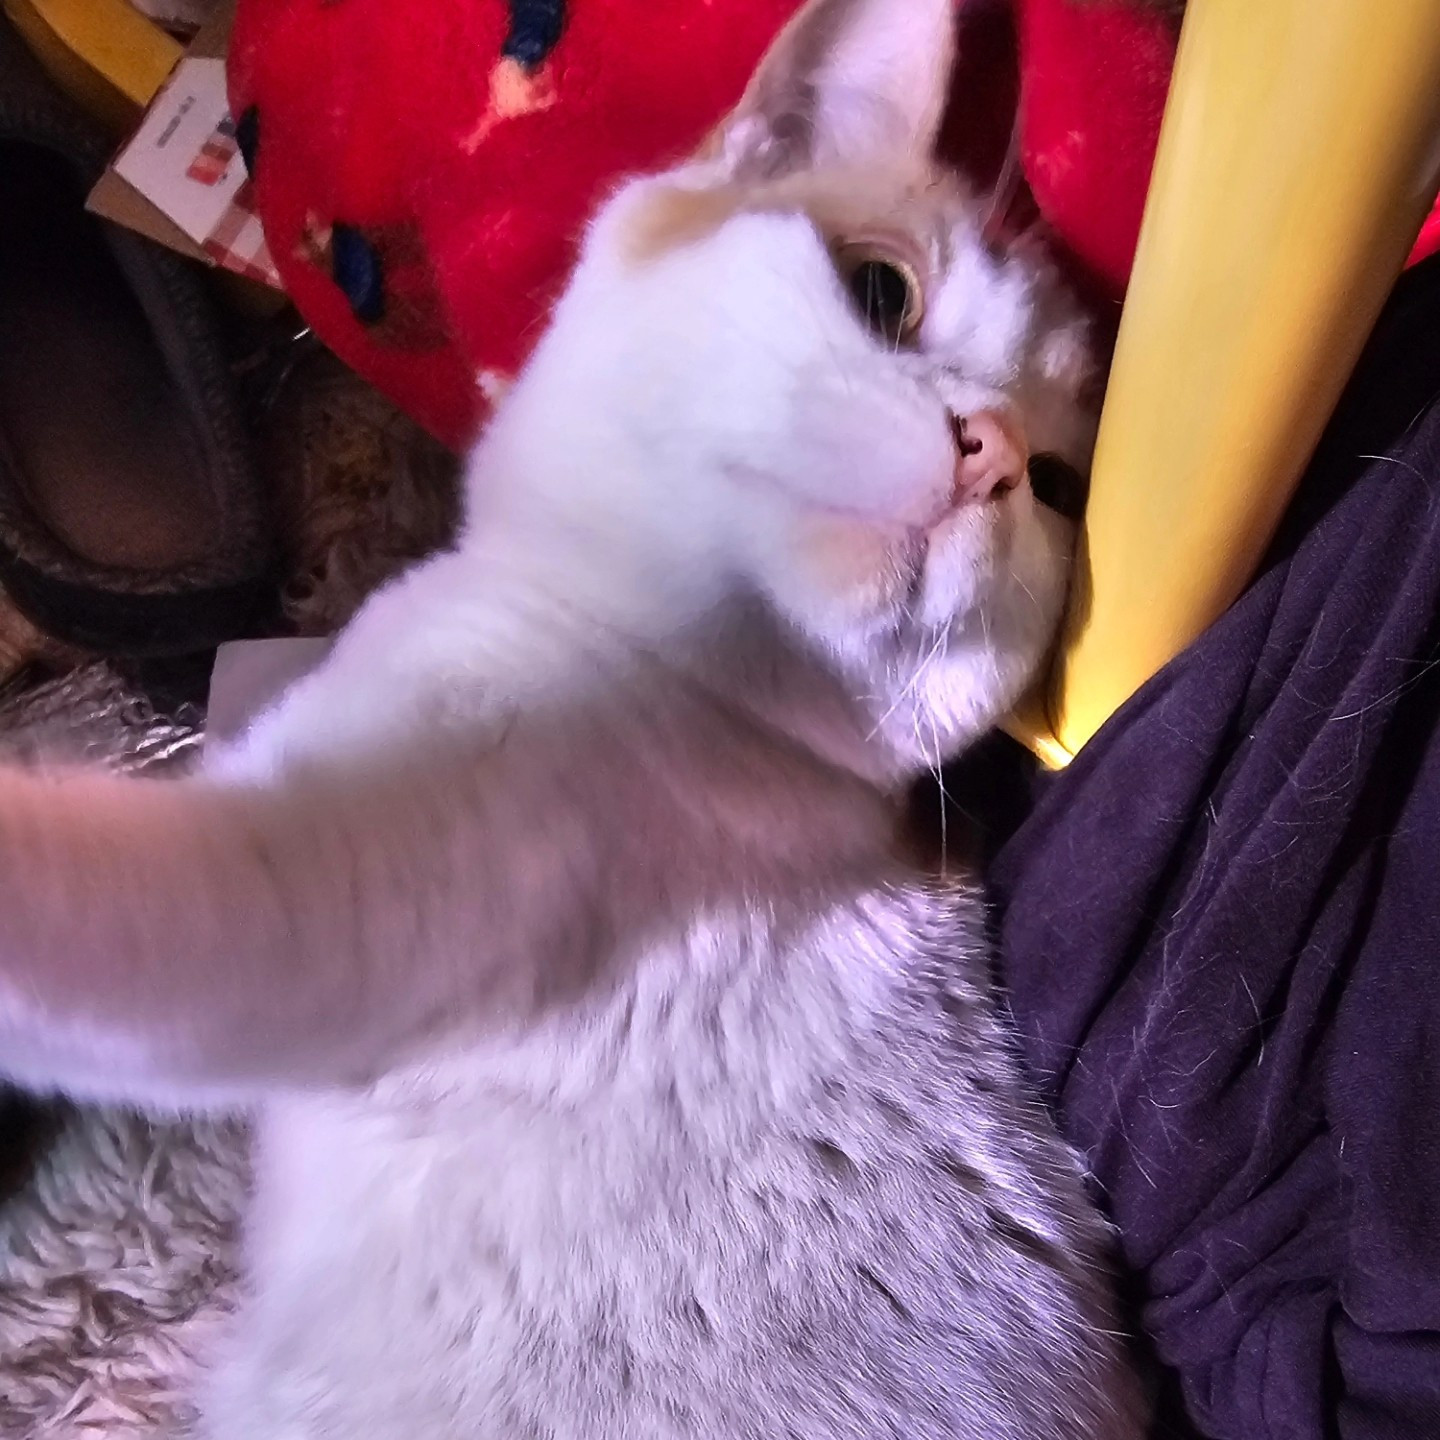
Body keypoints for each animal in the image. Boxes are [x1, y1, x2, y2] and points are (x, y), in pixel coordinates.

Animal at [0, 0, 1146, 1434]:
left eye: (1055, 487)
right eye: (886, 293)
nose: (990, 451)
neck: (681, 687)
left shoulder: (315, 907)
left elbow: (117, 914)